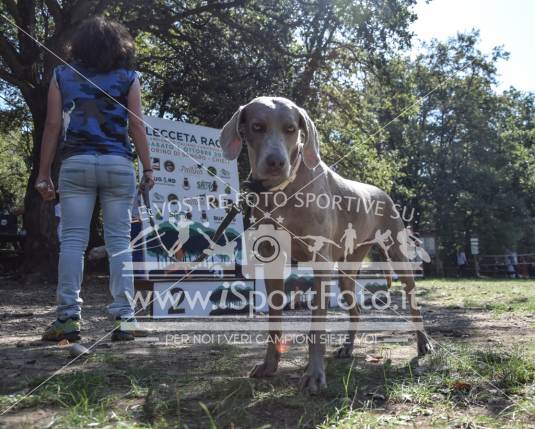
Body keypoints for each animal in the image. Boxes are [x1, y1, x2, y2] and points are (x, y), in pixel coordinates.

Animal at [220, 95, 434, 392]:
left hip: (398, 257)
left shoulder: (320, 260)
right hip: (346, 271)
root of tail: (382, 192)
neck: (284, 191)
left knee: (414, 303)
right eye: (257, 126)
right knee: (356, 311)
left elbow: (316, 325)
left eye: (290, 128)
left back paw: (423, 343)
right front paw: (269, 366)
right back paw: (347, 348)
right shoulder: (272, 259)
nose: (276, 163)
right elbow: (274, 320)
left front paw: (314, 375)